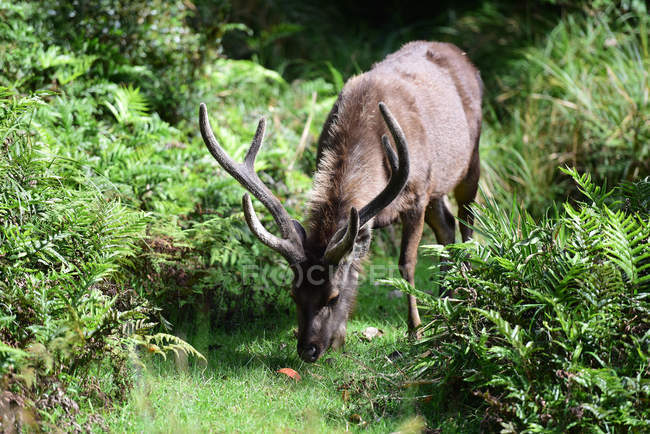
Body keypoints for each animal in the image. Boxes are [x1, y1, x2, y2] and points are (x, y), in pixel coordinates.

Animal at [199, 40, 480, 362]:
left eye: (332, 296)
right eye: (294, 294)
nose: (308, 350)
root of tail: (457, 52)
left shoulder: (418, 194)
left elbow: (405, 264)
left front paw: (415, 332)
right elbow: (355, 268)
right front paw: (340, 339)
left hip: (470, 161)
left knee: (467, 226)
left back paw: (467, 297)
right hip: (438, 187)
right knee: (446, 226)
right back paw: (448, 300)